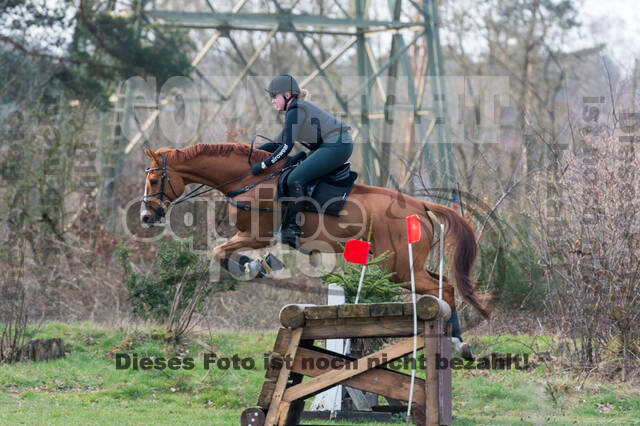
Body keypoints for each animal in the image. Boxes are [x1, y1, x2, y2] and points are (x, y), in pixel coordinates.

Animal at [139, 141, 490, 324]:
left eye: (154, 181)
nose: (146, 216)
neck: (249, 180)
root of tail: (420, 205)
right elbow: (222, 251)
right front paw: (258, 265)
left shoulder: (259, 234)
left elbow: (220, 252)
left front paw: (252, 267)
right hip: (405, 265)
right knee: (443, 285)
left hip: (399, 269)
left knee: (445, 289)